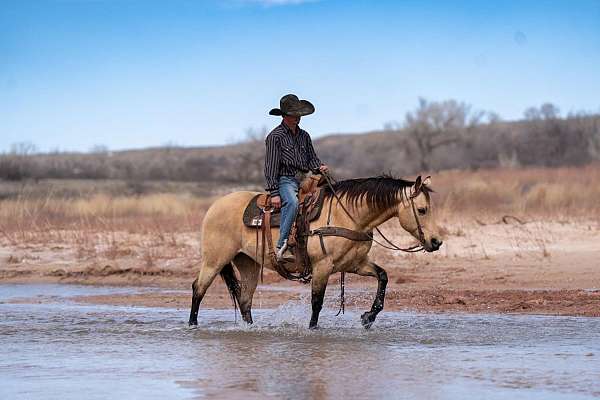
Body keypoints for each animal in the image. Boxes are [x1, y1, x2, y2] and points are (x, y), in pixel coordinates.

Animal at [190, 174, 442, 328]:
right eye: (422, 210)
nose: (437, 241)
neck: (347, 216)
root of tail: (215, 206)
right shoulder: (322, 266)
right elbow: (317, 302)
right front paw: (313, 330)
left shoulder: (355, 264)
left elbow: (383, 276)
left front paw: (368, 317)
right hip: (215, 260)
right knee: (199, 289)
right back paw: (192, 325)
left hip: (248, 263)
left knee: (244, 299)